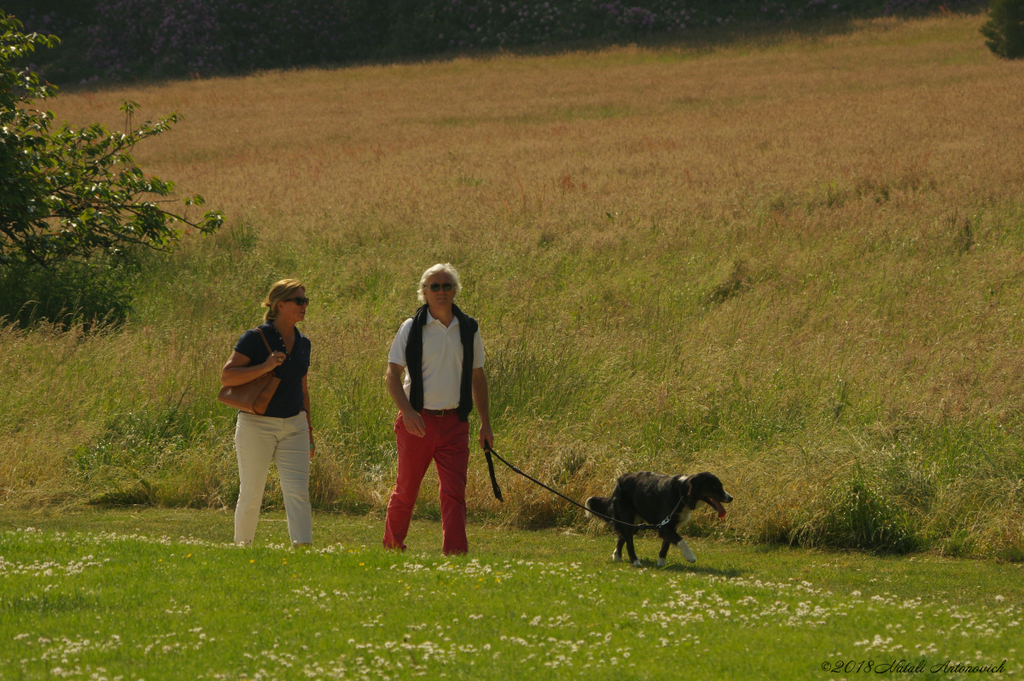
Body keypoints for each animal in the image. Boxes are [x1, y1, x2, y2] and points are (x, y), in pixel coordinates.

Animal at [589, 471, 733, 565]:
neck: (681, 493)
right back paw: (635, 561)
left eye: (721, 486)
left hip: (636, 523)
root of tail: (619, 480)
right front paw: (690, 557)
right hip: (627, 518)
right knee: (629, 542)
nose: (730, 498)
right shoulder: (665, 525)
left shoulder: (670, 525)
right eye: (715, 487)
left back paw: (617, 556)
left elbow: (666, 544)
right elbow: (681, 541)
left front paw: (661, 562)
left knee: (622, 537)